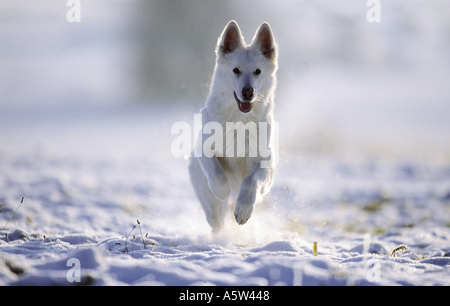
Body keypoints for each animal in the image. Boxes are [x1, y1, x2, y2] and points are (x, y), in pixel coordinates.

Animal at [187, 20, 278, 232]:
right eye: (236, 70)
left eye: (257, 71)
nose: (248, 92)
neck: (240, 122)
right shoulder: (204, 147)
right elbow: (217, 174)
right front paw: (222, 190)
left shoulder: (266, 163)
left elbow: (251, 180)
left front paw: (243, 209)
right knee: (216, 220)